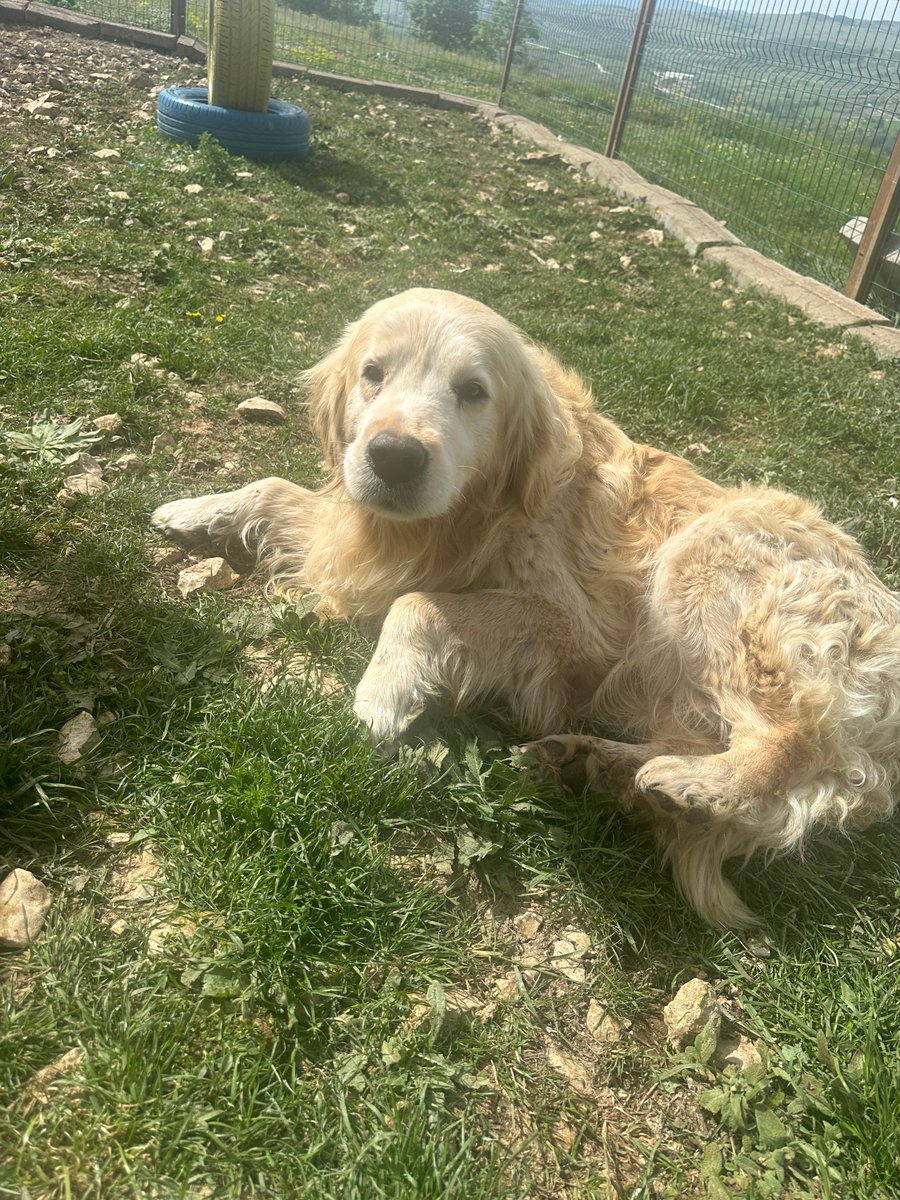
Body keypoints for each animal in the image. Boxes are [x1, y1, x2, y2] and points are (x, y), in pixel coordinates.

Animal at [154, 288, 900, 926]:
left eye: (472, 392)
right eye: (373, 373)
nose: (393, 457)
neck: (471, 512)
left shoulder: (577, 635)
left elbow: (418, 604)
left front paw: (383, 695)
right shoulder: (355, 530)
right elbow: (272, 487)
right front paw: (191, 509)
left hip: (706, 557)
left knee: (790, 738)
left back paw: (700, 788)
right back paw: (593, 764)